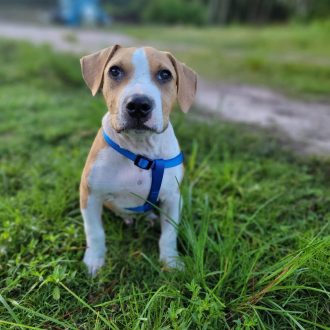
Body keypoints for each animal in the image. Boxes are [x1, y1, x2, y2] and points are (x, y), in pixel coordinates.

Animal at [79, 44, 199, 276]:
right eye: (114, 71)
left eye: (165, 75)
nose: (138, 104)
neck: (140, 151)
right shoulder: (90, 194)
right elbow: (95, 231)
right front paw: (94, 260)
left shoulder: (173, 198)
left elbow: (169, 235)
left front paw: (171, 261)